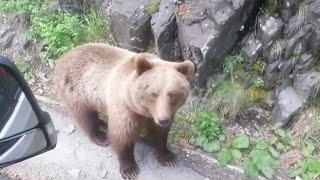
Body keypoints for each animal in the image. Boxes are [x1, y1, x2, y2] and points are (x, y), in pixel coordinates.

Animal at [53, 43, 195, 179]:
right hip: (77, 90)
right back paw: (100, 136)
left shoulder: (157, 114)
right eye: (154, 93)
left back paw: (102, 123)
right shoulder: (125, 108)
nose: (163, 119)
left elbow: (160, 134)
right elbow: (123, 135)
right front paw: (129, 169)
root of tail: (62, 58)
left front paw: (168, 156)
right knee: (84, 116)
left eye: (172, 94)